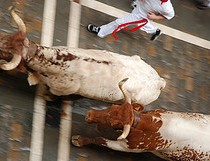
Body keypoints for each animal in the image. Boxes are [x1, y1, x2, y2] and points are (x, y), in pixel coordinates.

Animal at [72, 78, 210, 160]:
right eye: (114, 106)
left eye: (114, 124)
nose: (88, 114)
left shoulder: (126, 147)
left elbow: (100, 139)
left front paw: (80, 140)